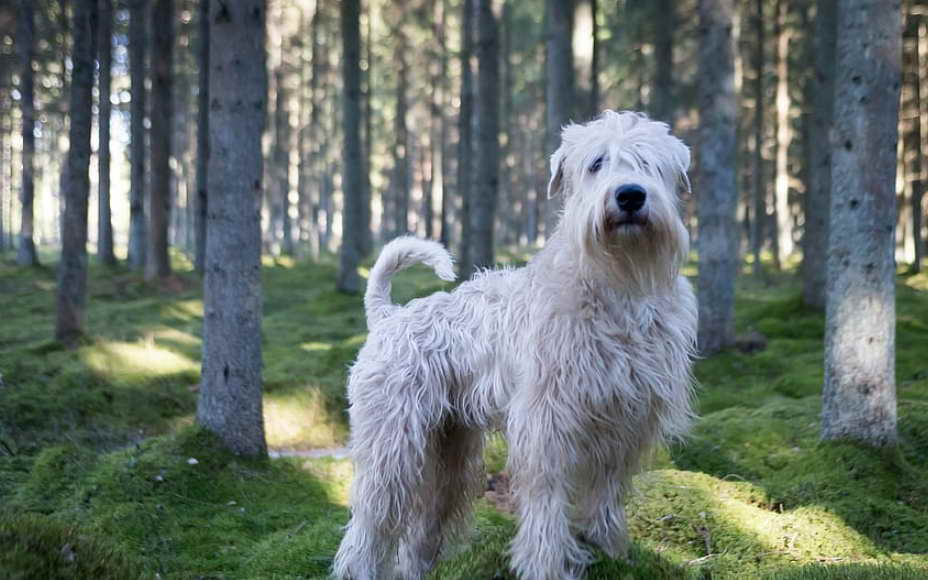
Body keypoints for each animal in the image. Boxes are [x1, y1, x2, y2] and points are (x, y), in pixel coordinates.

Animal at [334, 111, 696, 576]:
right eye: (597, 163)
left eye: (650, 162)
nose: (630, 195)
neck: (619, 285)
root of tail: (387, 316)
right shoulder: (548, 421)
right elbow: (546, 499)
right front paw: (546, 564)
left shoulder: (626, 420)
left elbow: (607, 494)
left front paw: (611, 551)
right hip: (392, 442)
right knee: (371, 520)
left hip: (449, 447)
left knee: (423, 522)